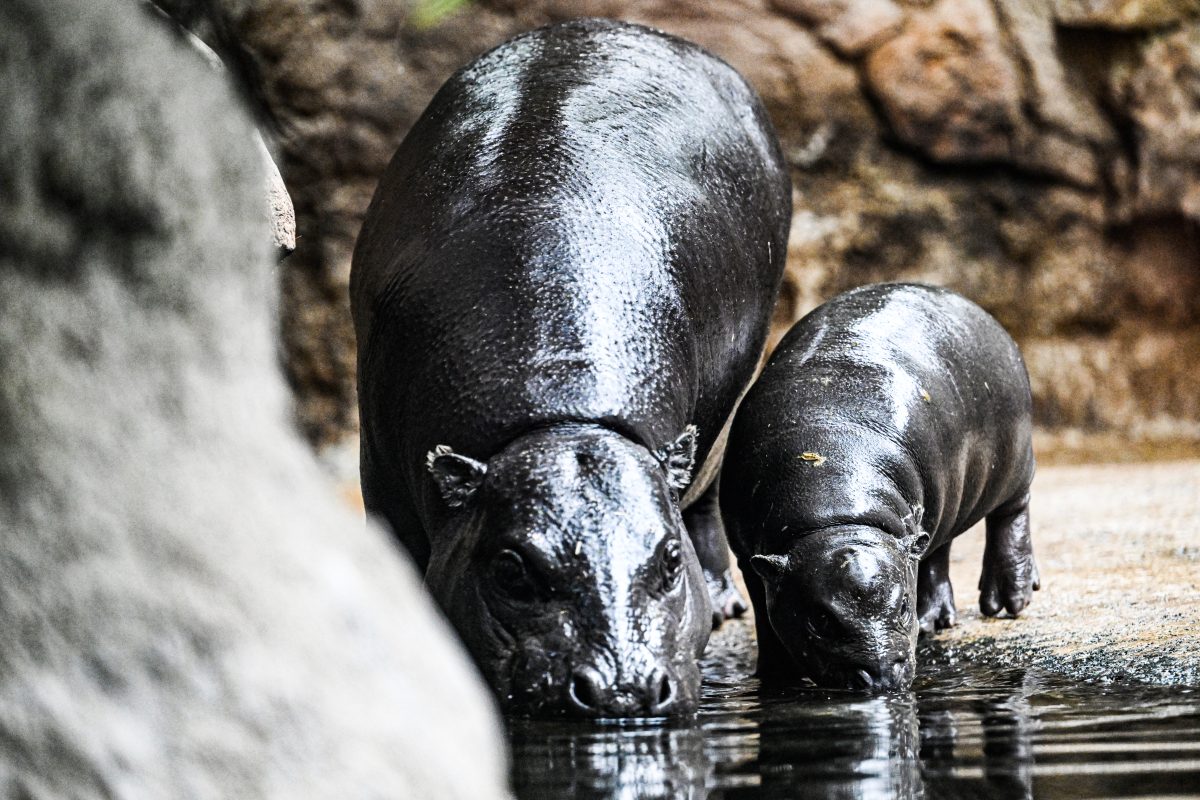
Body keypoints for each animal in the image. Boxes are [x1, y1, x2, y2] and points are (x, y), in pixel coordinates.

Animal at [350, 18, 792, 714]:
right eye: (510, 569)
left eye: (670, 561)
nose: (623, 689)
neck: (562, 411)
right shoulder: (381, 468)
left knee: (706, 485)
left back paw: (724, 601)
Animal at [720, 284, 1041, 690]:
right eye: (821, 620)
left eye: (903, 605)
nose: (883, 674)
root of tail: (977, 309)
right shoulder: (751, 560)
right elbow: (767, 622)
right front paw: (775, 677)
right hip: (942, 501)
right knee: (936, 550)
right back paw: (936, 619)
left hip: (1014, 463)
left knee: (1012, 513)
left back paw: (1007, 600)